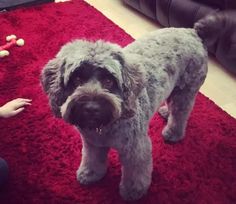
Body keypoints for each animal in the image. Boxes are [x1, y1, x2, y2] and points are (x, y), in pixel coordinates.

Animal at [41, 26, 207, 200]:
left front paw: (133, 192)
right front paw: (90, 173)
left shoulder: (135, 149)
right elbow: (92, 160)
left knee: (181, 113)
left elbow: (135, 174)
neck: (104, 128)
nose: (92, 107)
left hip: (186, 91)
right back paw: (165, 112)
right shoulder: (92, 143)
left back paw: (173, 133)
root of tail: (191, 31)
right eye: (77, 79)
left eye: (108, 81)